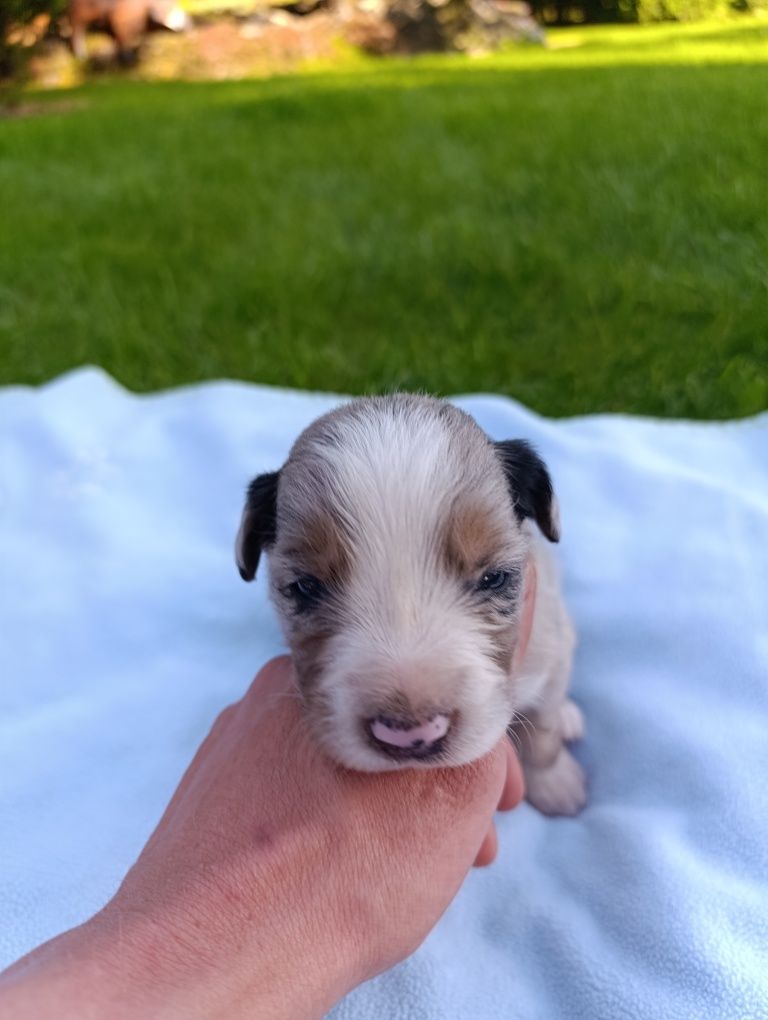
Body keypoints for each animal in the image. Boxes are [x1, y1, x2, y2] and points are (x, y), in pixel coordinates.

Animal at [236, 393, 583, 816]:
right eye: (305, 586)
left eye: (495, 577)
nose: (411, 734)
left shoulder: (548, 642)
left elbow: (545, 726)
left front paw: (556, 783)